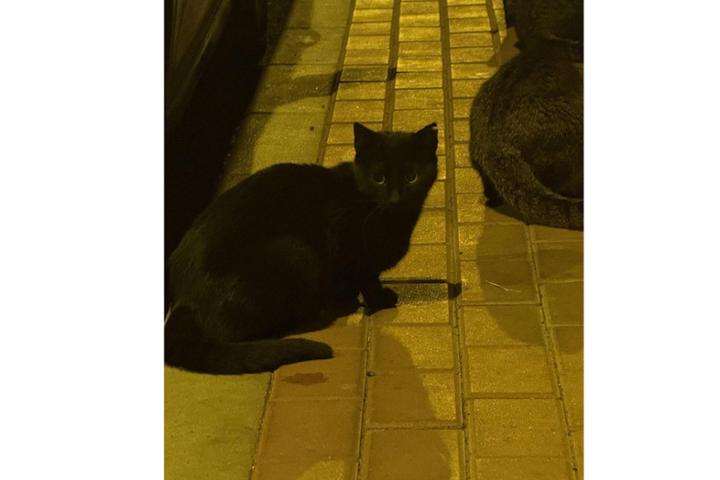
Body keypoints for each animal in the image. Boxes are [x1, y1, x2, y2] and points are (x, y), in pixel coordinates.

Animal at [165, 122, 439, 374]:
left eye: (412, 177)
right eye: (378, 178)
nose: (396, 199)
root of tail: (182, 300)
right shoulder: (352, 252)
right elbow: (368, 280)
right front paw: (379, 301)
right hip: (296, 252)